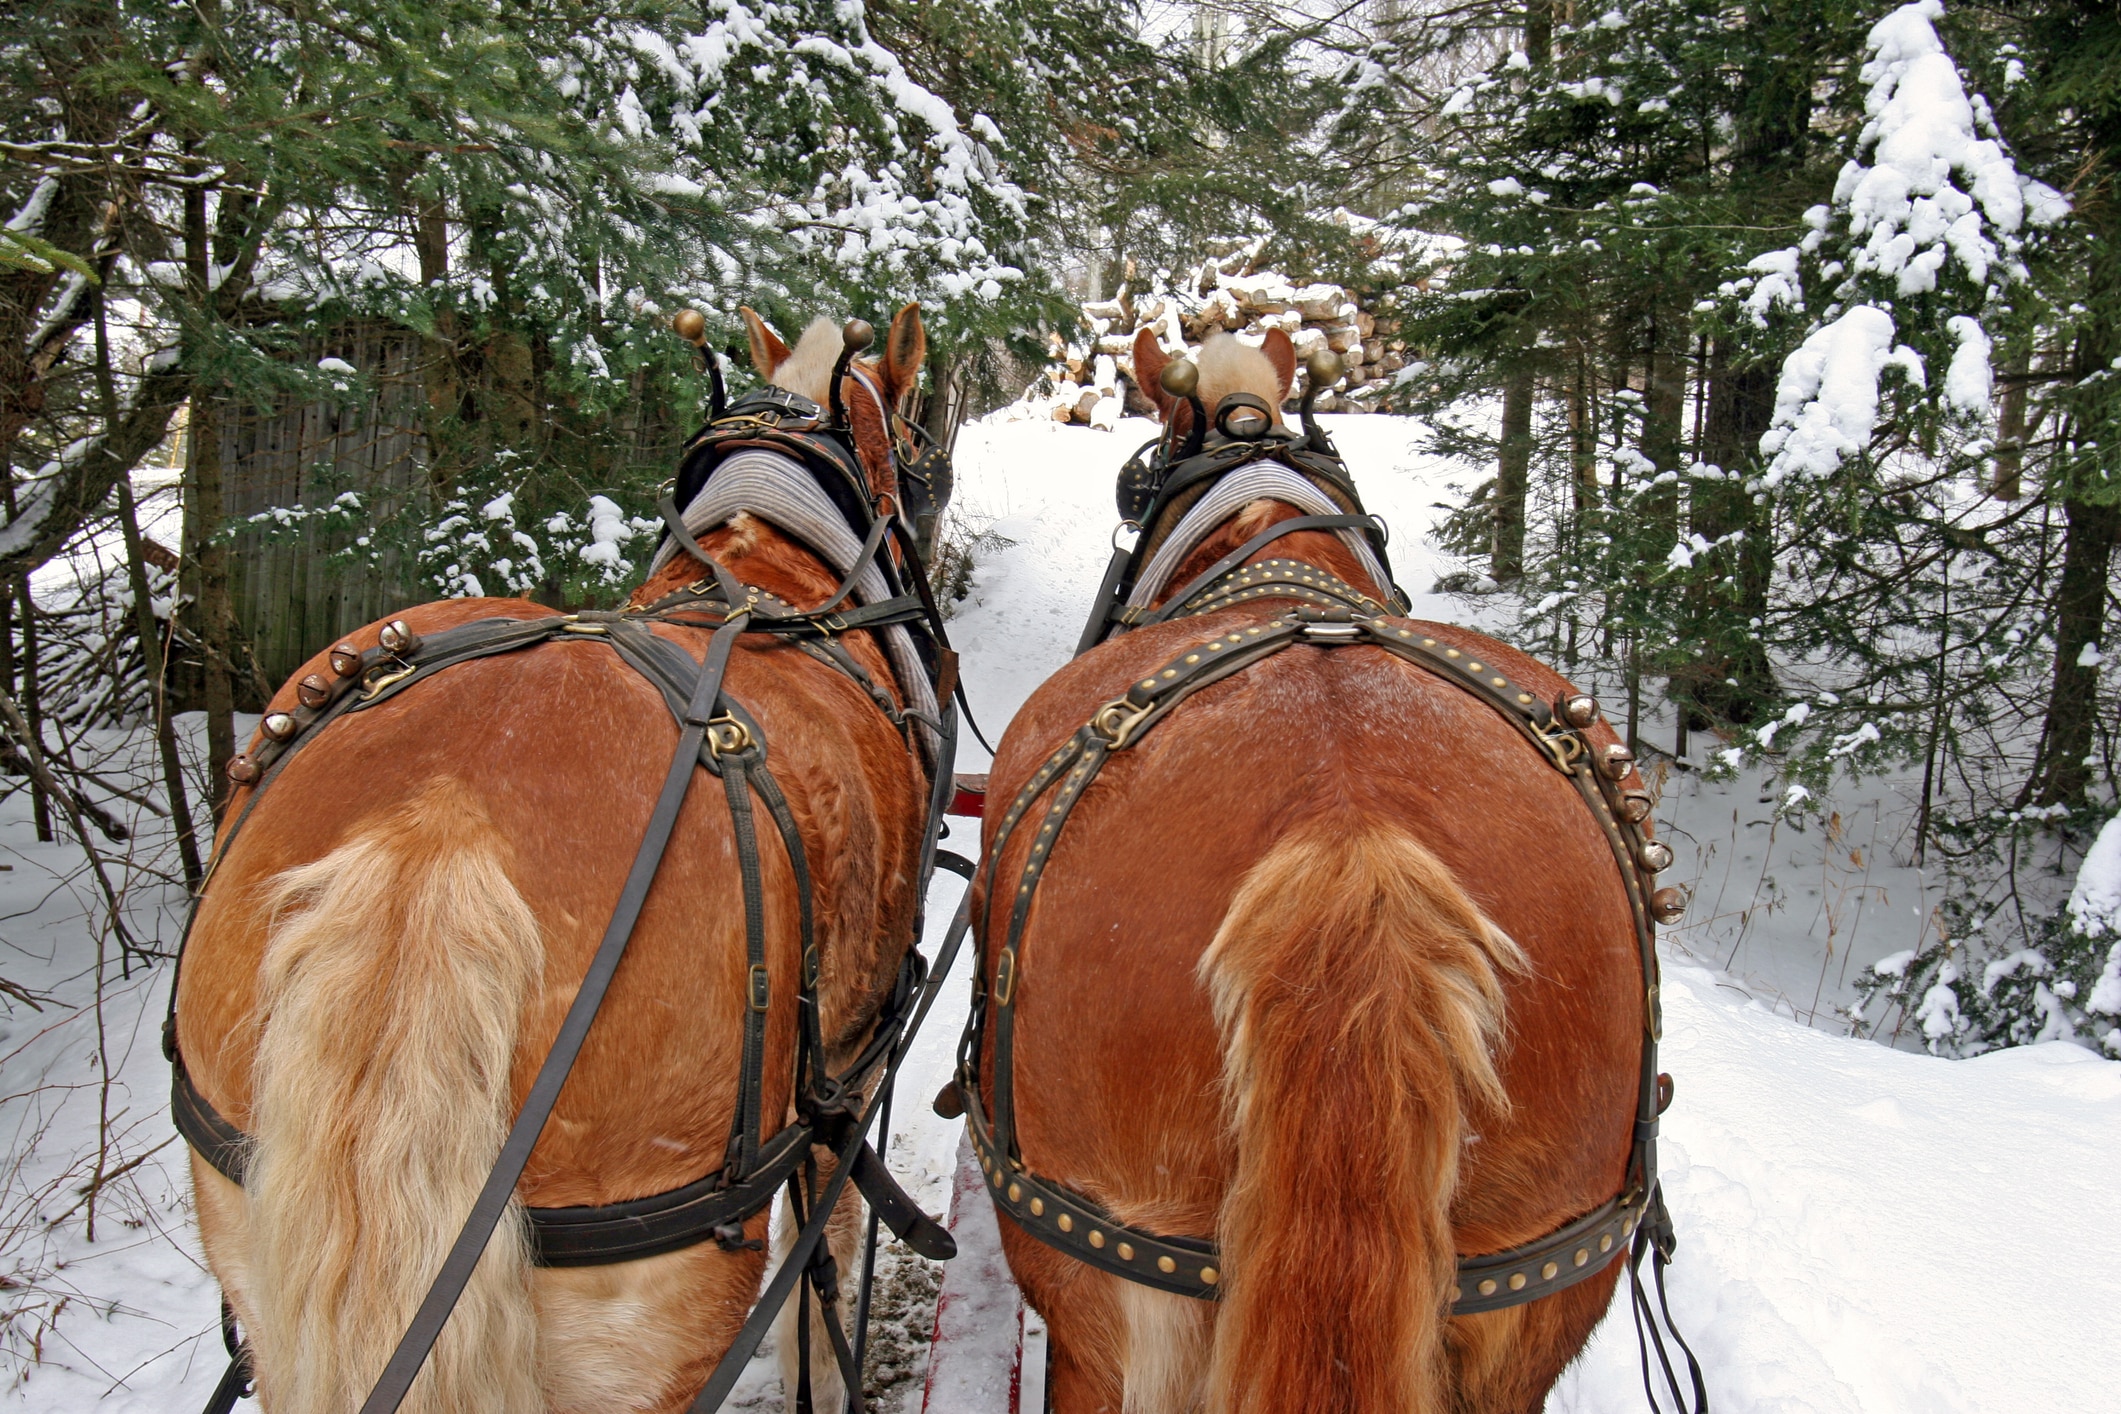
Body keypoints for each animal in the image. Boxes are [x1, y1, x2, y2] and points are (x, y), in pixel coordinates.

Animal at [170, 303, 942, 1414]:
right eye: (918, 450)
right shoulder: (849, 1076)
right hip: (652, 1316)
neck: (770, 573)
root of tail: (437, 831)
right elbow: (822, 1272)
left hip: (259, 1258)